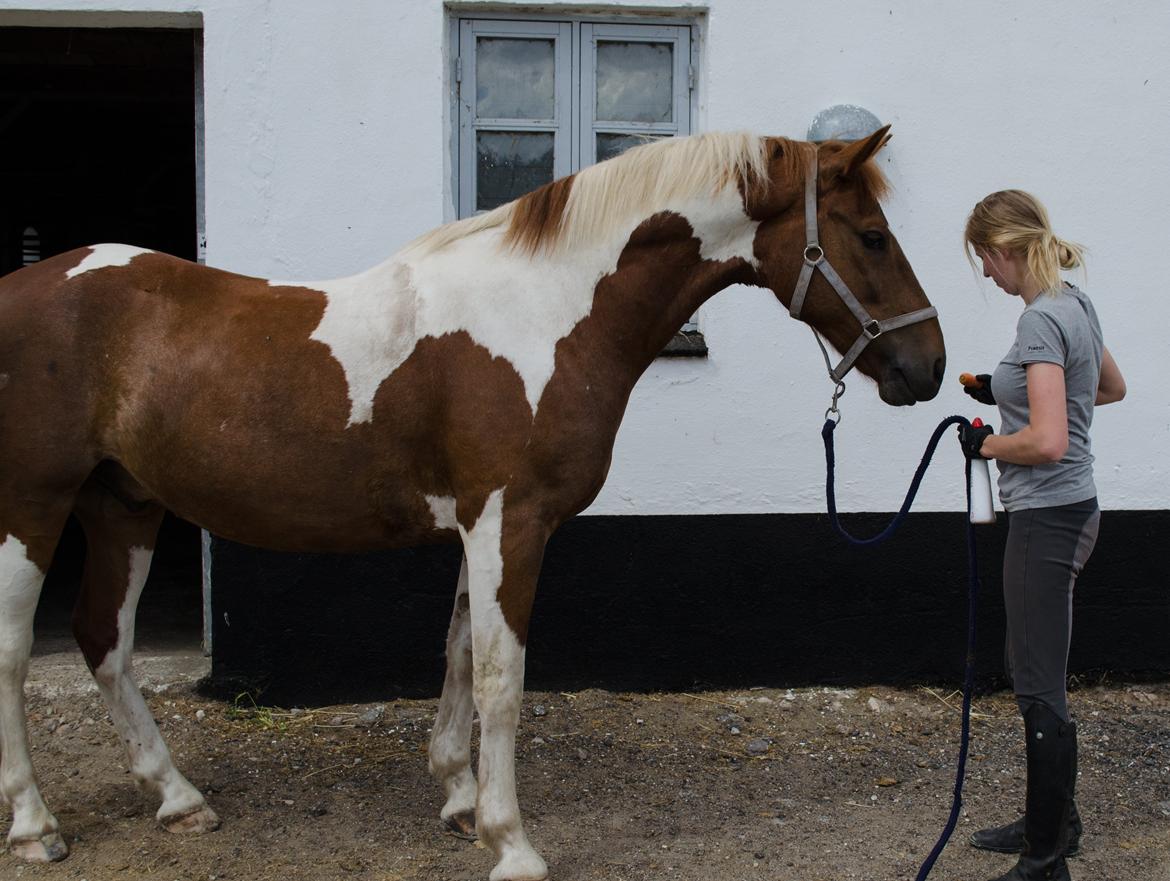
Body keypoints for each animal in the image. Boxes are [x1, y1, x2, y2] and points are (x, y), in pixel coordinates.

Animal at [0, 125, 945, 879]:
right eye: (871, 236)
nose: (929, 365)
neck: (548, 311)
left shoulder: (477, 522)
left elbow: (458, 651)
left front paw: (457, 796)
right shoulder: (509, 520)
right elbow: (501, 675)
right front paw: (510, 839)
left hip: (122, 504)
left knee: (105, 640)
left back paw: (179, 797)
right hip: (34, 507)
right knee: (15, 653)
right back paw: (36, 823)